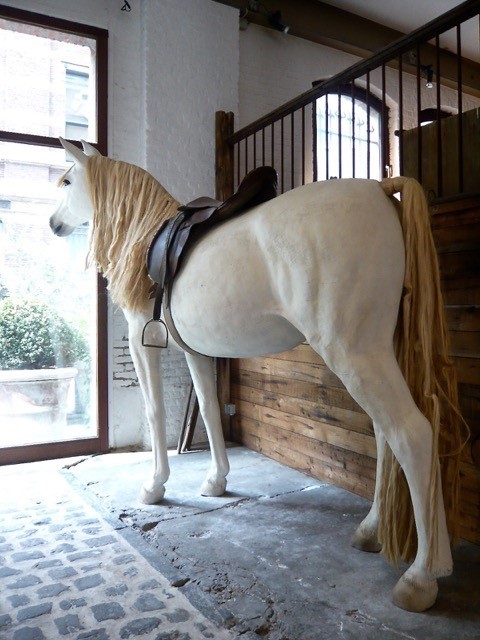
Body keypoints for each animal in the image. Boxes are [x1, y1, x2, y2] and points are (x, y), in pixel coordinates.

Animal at [49, 138, 464, 612]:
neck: (148, 236)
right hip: (374, 353)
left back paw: (422, 577)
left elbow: (155, 413)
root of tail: (379, 188)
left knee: (412, 434)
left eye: (67, 181)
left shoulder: (142, 341)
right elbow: (210, 409)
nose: (53, 224)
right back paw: (371, 530)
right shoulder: (196, 352)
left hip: (354, 352)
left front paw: (154, 487)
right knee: (384, 435)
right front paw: (216, 481)